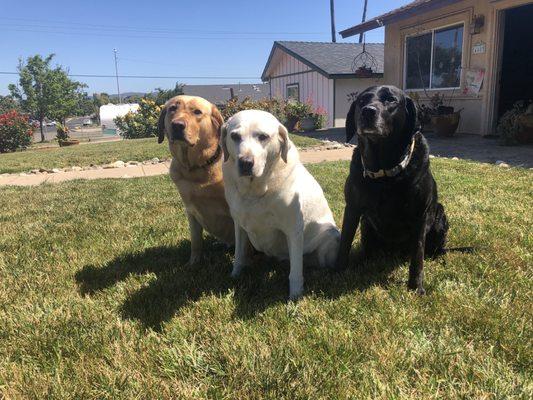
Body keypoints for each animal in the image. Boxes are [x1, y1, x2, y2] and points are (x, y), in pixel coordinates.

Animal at [158, 95, 233, 268]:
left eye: (197, 112)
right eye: (172, 108)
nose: (177, 125)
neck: (196, 168)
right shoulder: (191, 212)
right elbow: (196, 242)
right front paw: (193, 262)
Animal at [221, 109, 338, 300]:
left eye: (263, 136)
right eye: (235, 136)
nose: (246, 162)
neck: (254, 190)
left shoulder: (293, 230)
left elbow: (295, 272)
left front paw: (295, 295)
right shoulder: (239, 225)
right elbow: (239, 255)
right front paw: (235, 275)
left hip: (330, 236)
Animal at [334, 85, 446, 294]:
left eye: (391, 100)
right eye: (362, 101)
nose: (367, 111)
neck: (384, 173)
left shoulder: (420, 215)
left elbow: (417, 256)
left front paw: (416, 287)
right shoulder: (352, 209)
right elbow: (345, 241)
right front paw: (336, 271)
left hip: (440, 215)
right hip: (366, 225)